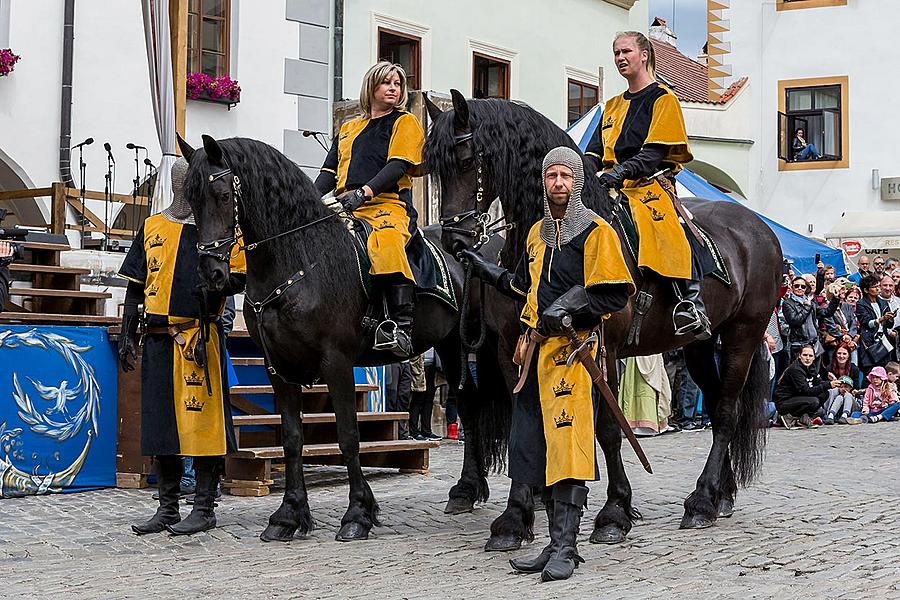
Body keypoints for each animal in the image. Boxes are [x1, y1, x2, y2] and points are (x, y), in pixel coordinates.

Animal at [179, 135, 488, 544]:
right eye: (191, 198)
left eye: (222, 194)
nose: (211, 273)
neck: (299, 259)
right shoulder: (278, 369)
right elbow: (292, 439)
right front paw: (288, 515)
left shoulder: (336, 362)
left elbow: (348, 437)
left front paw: (358, 513)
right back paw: (470, 489)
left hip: (455, 346)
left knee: (468, 404)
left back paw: (467, 489)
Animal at [422, 91, 780, 548]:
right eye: (435, 169)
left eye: (468, 160)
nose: (455, 242)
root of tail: (758, 227)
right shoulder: (512, 348)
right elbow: (526, 425)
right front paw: (516, 518)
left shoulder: (601, 349)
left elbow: (609, 428)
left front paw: (615, 511)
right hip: (700, 344)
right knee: (718, 405)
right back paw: (721, 494)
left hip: (743, 335)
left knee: (727, 412)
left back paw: (701, 501)